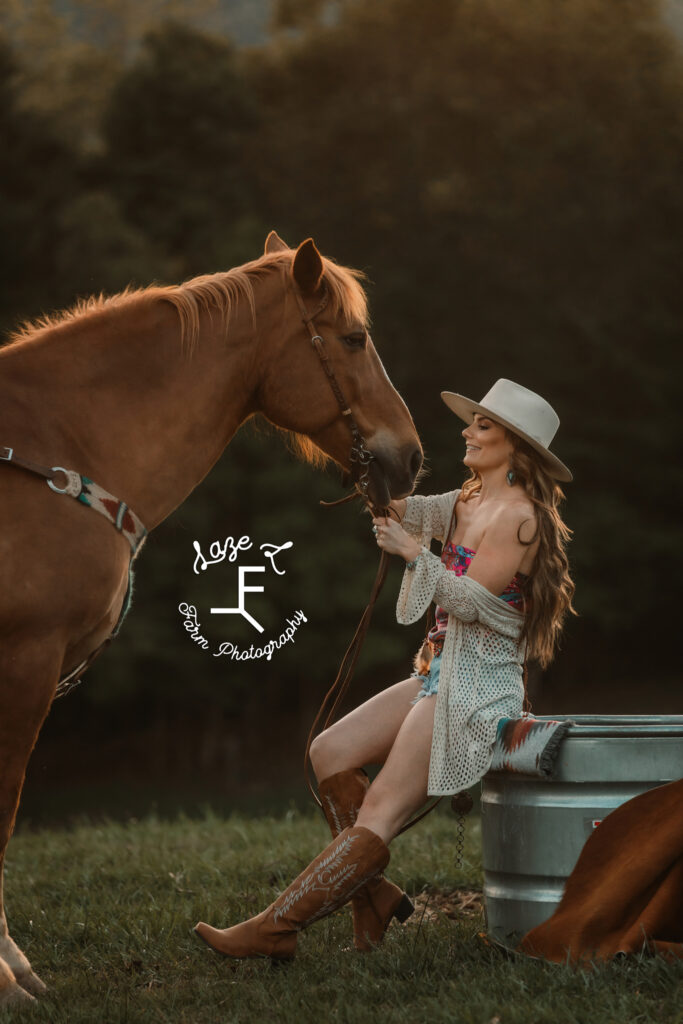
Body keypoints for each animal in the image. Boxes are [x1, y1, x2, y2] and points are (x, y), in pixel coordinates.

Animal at [0, 230, 421, 999]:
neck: (53, 449)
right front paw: (9, 978)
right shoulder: (25, 661)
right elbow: (4, 810)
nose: (409, 456)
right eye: (352, 339)